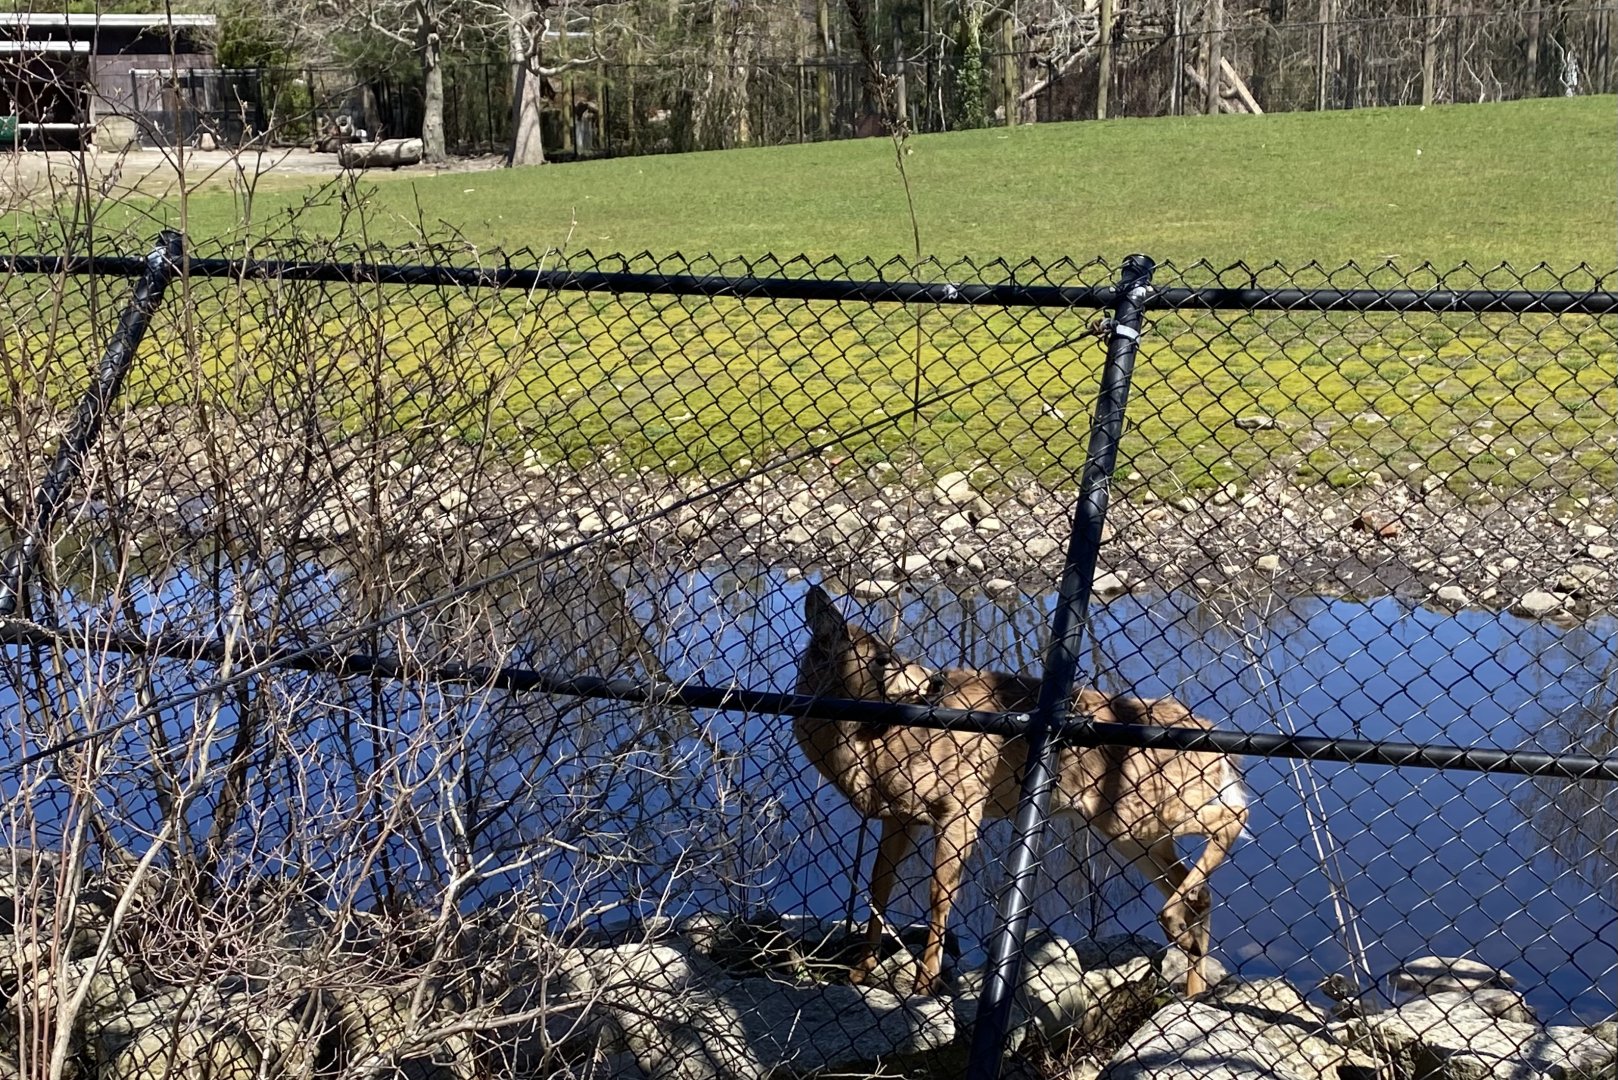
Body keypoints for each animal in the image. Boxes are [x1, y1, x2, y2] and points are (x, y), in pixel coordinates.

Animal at [793, 584, 1249, 998]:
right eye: (881, 658)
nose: (935, 681)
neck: (873, 745)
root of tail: (1211, 739)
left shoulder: (963, 801)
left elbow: (940, 892)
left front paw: (925, 985)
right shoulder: (898, 815)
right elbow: (878, 884)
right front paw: (860, 971)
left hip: (1136, 811)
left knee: (1233, 816)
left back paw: (1176, 932)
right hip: (1133, 829)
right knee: (1198, 890)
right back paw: (1192, 985)